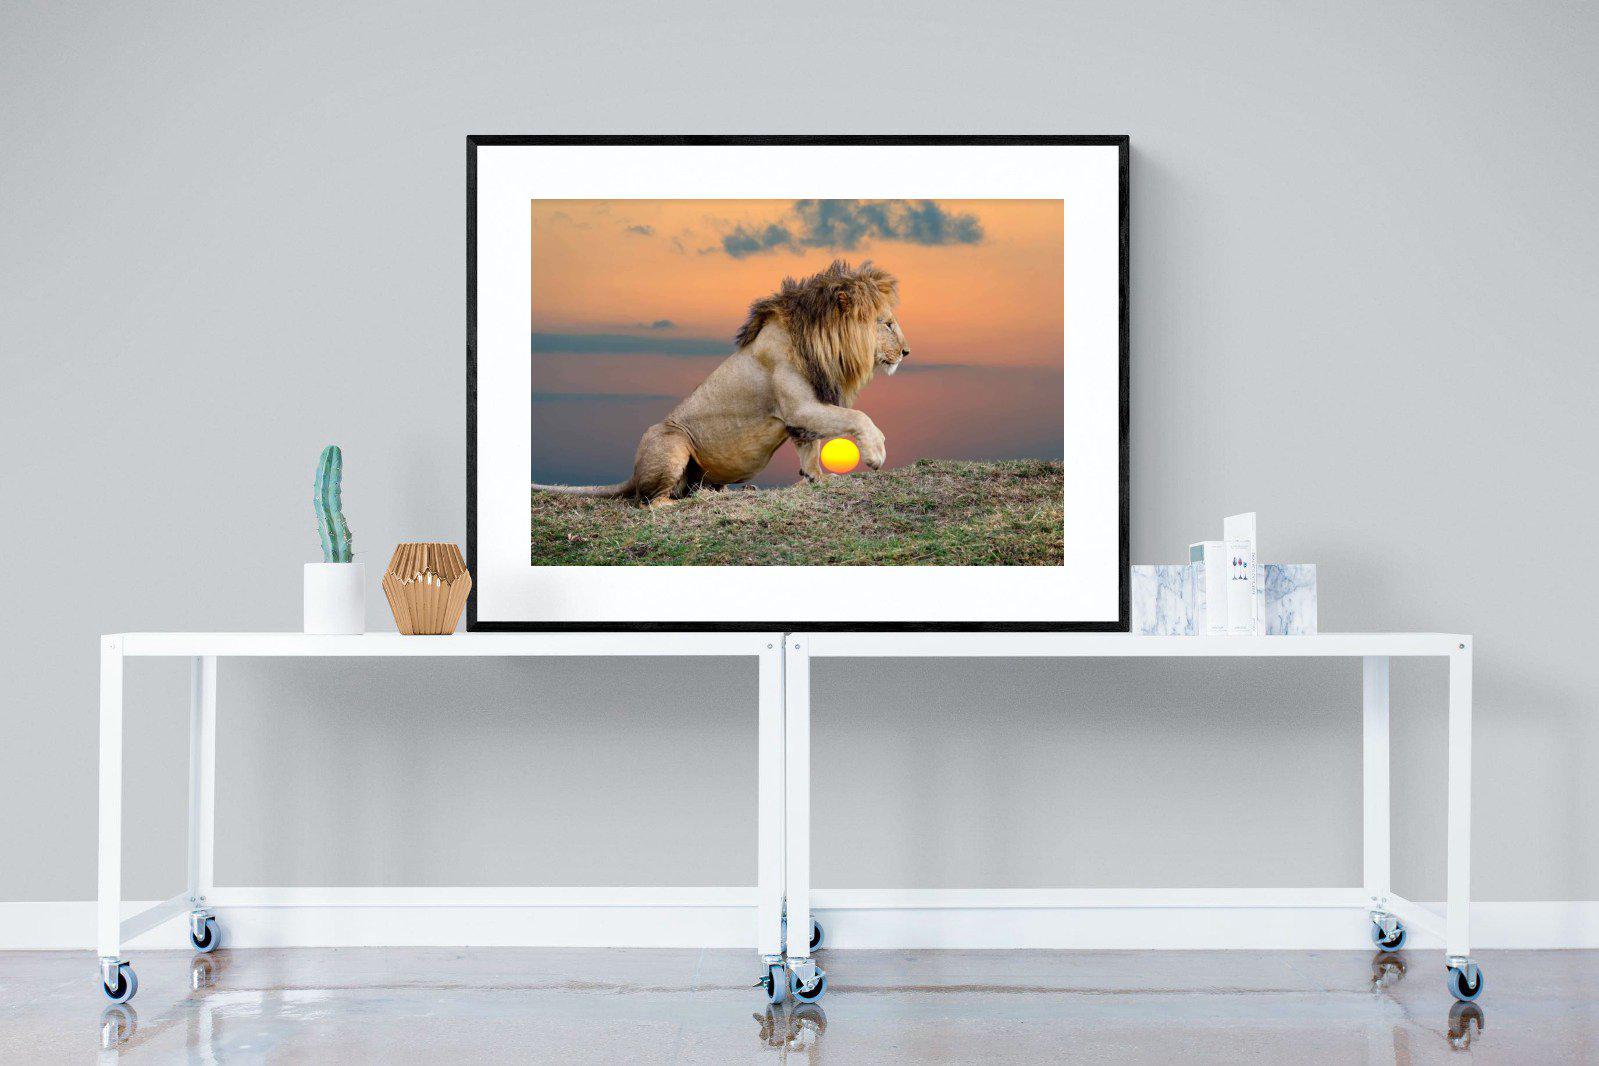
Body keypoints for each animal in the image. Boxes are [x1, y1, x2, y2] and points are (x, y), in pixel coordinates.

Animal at [533, 259, 910, 507]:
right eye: (888, 324)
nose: (907, 352)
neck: (822, 344)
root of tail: (633, 473)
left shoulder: (801, 414)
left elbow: (809, 449)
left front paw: (817, 478)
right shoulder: (800, 407)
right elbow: (857, 417)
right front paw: (875, 453)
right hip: (671, 440)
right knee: (649, 501)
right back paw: (680, 504)